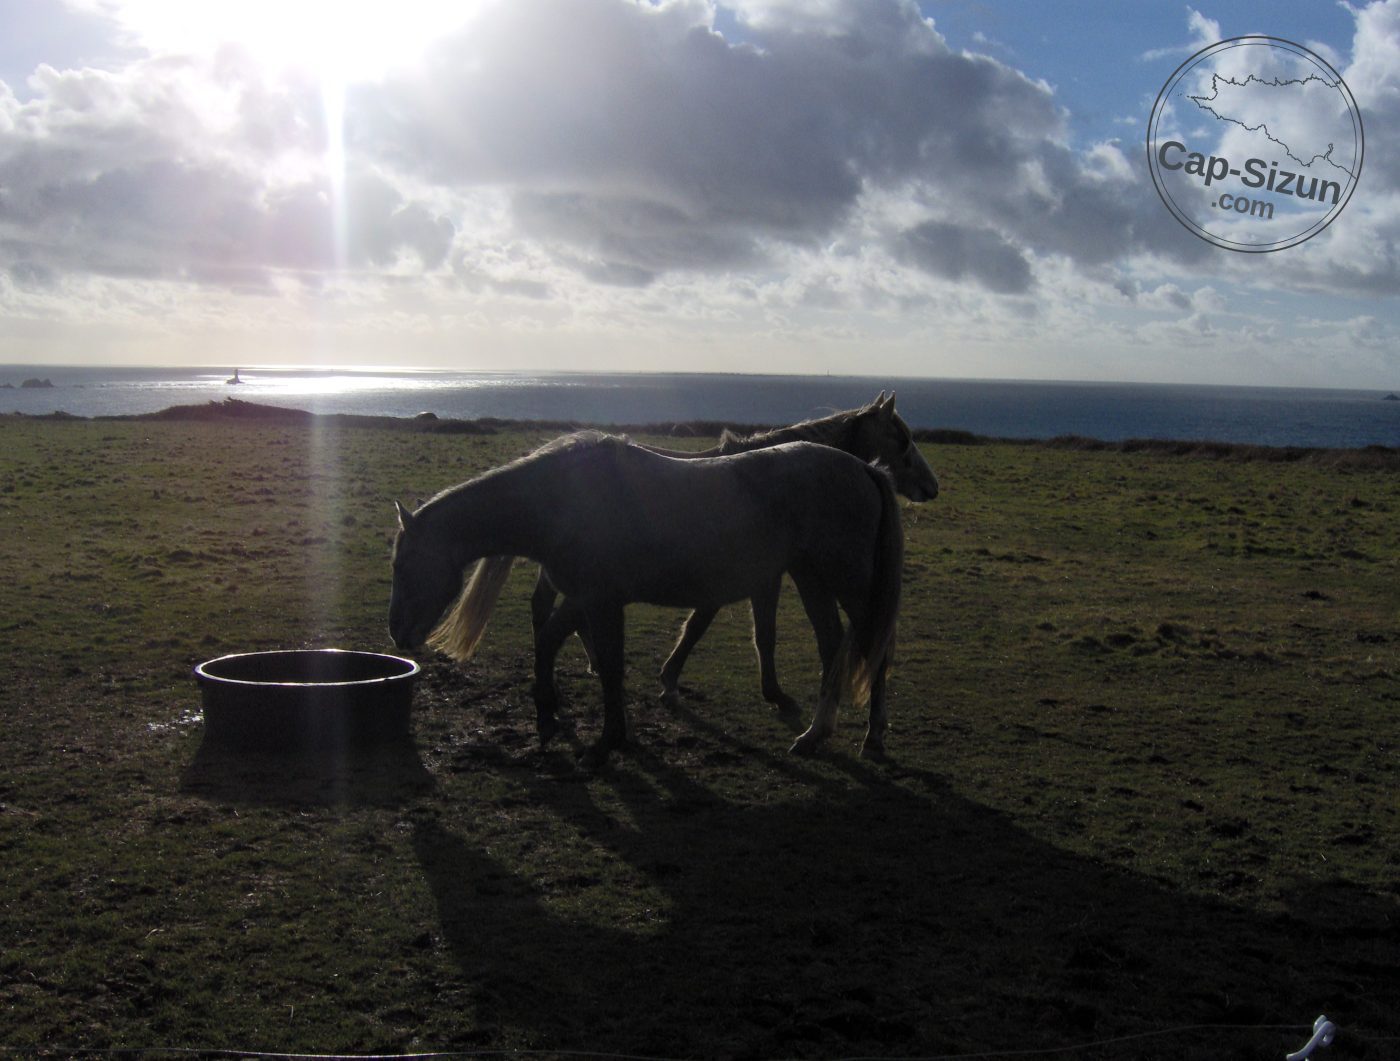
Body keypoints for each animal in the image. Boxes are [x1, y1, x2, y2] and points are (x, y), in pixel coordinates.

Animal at [388, 431, 904, 765]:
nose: (397, 633)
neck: (560, 498)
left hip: (848, 583)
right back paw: (818, 734)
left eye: (402, 565)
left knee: (874, 651)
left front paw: (600, 738)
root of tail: (865, 468)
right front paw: (561, 720)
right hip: (811, 578)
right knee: (834, 645)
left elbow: (597, 660)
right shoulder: (589, 599)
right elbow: (575, 651)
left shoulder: (597, 599)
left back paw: (870, 736)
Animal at [529, 392, 936, 714]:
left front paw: (671, 679)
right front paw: (770, 693)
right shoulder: (757, 577)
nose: (931, 486)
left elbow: (708, 626)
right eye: (901, 439)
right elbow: (737, 630)